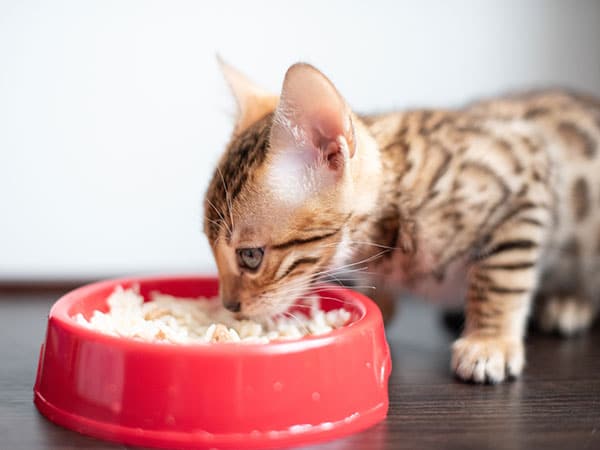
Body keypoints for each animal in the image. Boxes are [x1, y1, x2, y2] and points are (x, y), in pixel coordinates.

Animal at [204, 60, 600, 384]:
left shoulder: (525, 181)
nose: (230, 306)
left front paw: (489, 341)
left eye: (250, 256)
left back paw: (568, 304)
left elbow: (501, 279)